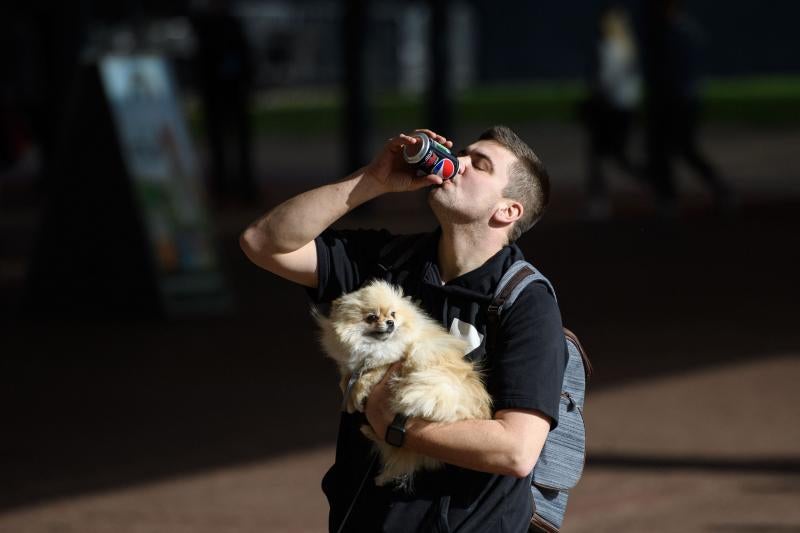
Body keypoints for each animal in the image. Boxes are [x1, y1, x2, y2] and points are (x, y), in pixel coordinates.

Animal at [314, 278, 494, 486]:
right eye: (372, 317)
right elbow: (346, 377)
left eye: (392, 314)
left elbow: (369, 374)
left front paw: (357, 394)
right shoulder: (352, 363)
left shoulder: (391, 360)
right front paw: (348, 392)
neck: (372, 345)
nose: (390, 322)